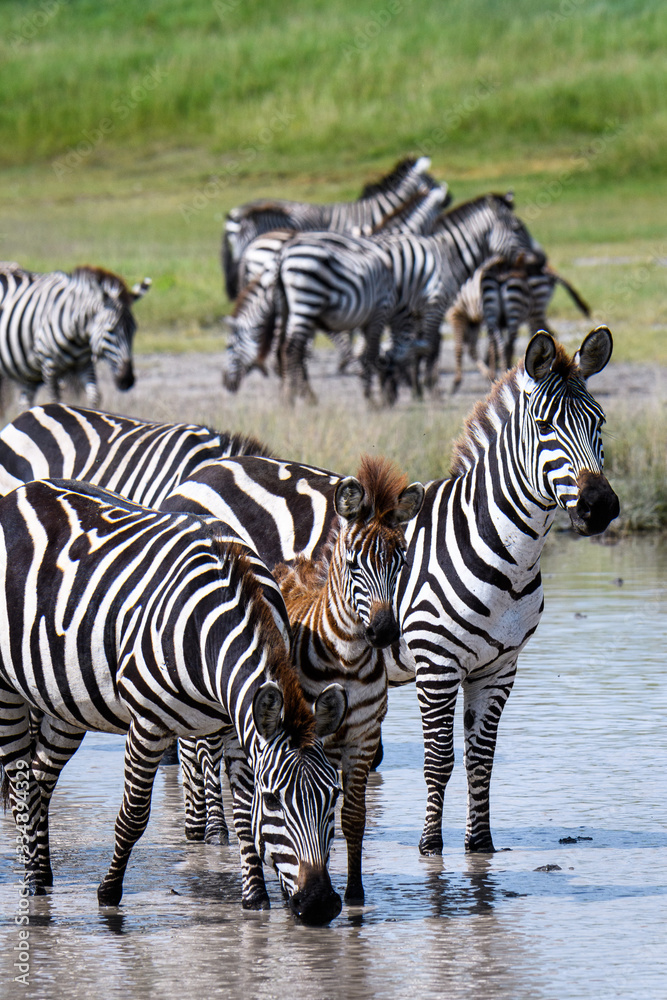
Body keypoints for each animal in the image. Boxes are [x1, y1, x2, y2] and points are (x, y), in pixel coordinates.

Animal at [0, 263, 150, 412]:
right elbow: (54, 399)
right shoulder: (49, 364)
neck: (78, 335)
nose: (127, 380)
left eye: (133, 330)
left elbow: (95, 396)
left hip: (27, 373)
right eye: (111, 330)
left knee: (24, 401)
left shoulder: (85, 364)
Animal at [0, 479, 347, 923]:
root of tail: (20, 492)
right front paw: (108, 893)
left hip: (67, 700)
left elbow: (241, 812)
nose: (319, 904)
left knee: (40, 776)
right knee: (20, 781)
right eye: (274, 800)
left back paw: (42, 875)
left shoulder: (237, 722)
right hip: (7, 689)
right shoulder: (147, 723)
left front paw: (255, 897)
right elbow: (133, 816)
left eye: (333, 797)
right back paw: (30, 881)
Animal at [156, 326, 619, 858]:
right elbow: (440, 759)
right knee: (198, 742)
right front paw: (430, 847)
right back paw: (207, 835)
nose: (600, 507)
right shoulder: (436, 663)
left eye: (600, 423)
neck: (503, 549)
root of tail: (196, 478)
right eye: (544, 426)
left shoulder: (499, 667)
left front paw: (480, 846)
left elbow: (481, 758)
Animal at [273, 456, 424, 904]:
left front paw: (355, 894)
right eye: (354, 563)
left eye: (401, 564)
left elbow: (353, 818)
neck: (348, 659)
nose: (384, 632)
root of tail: (293, 562)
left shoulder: (363, 738)